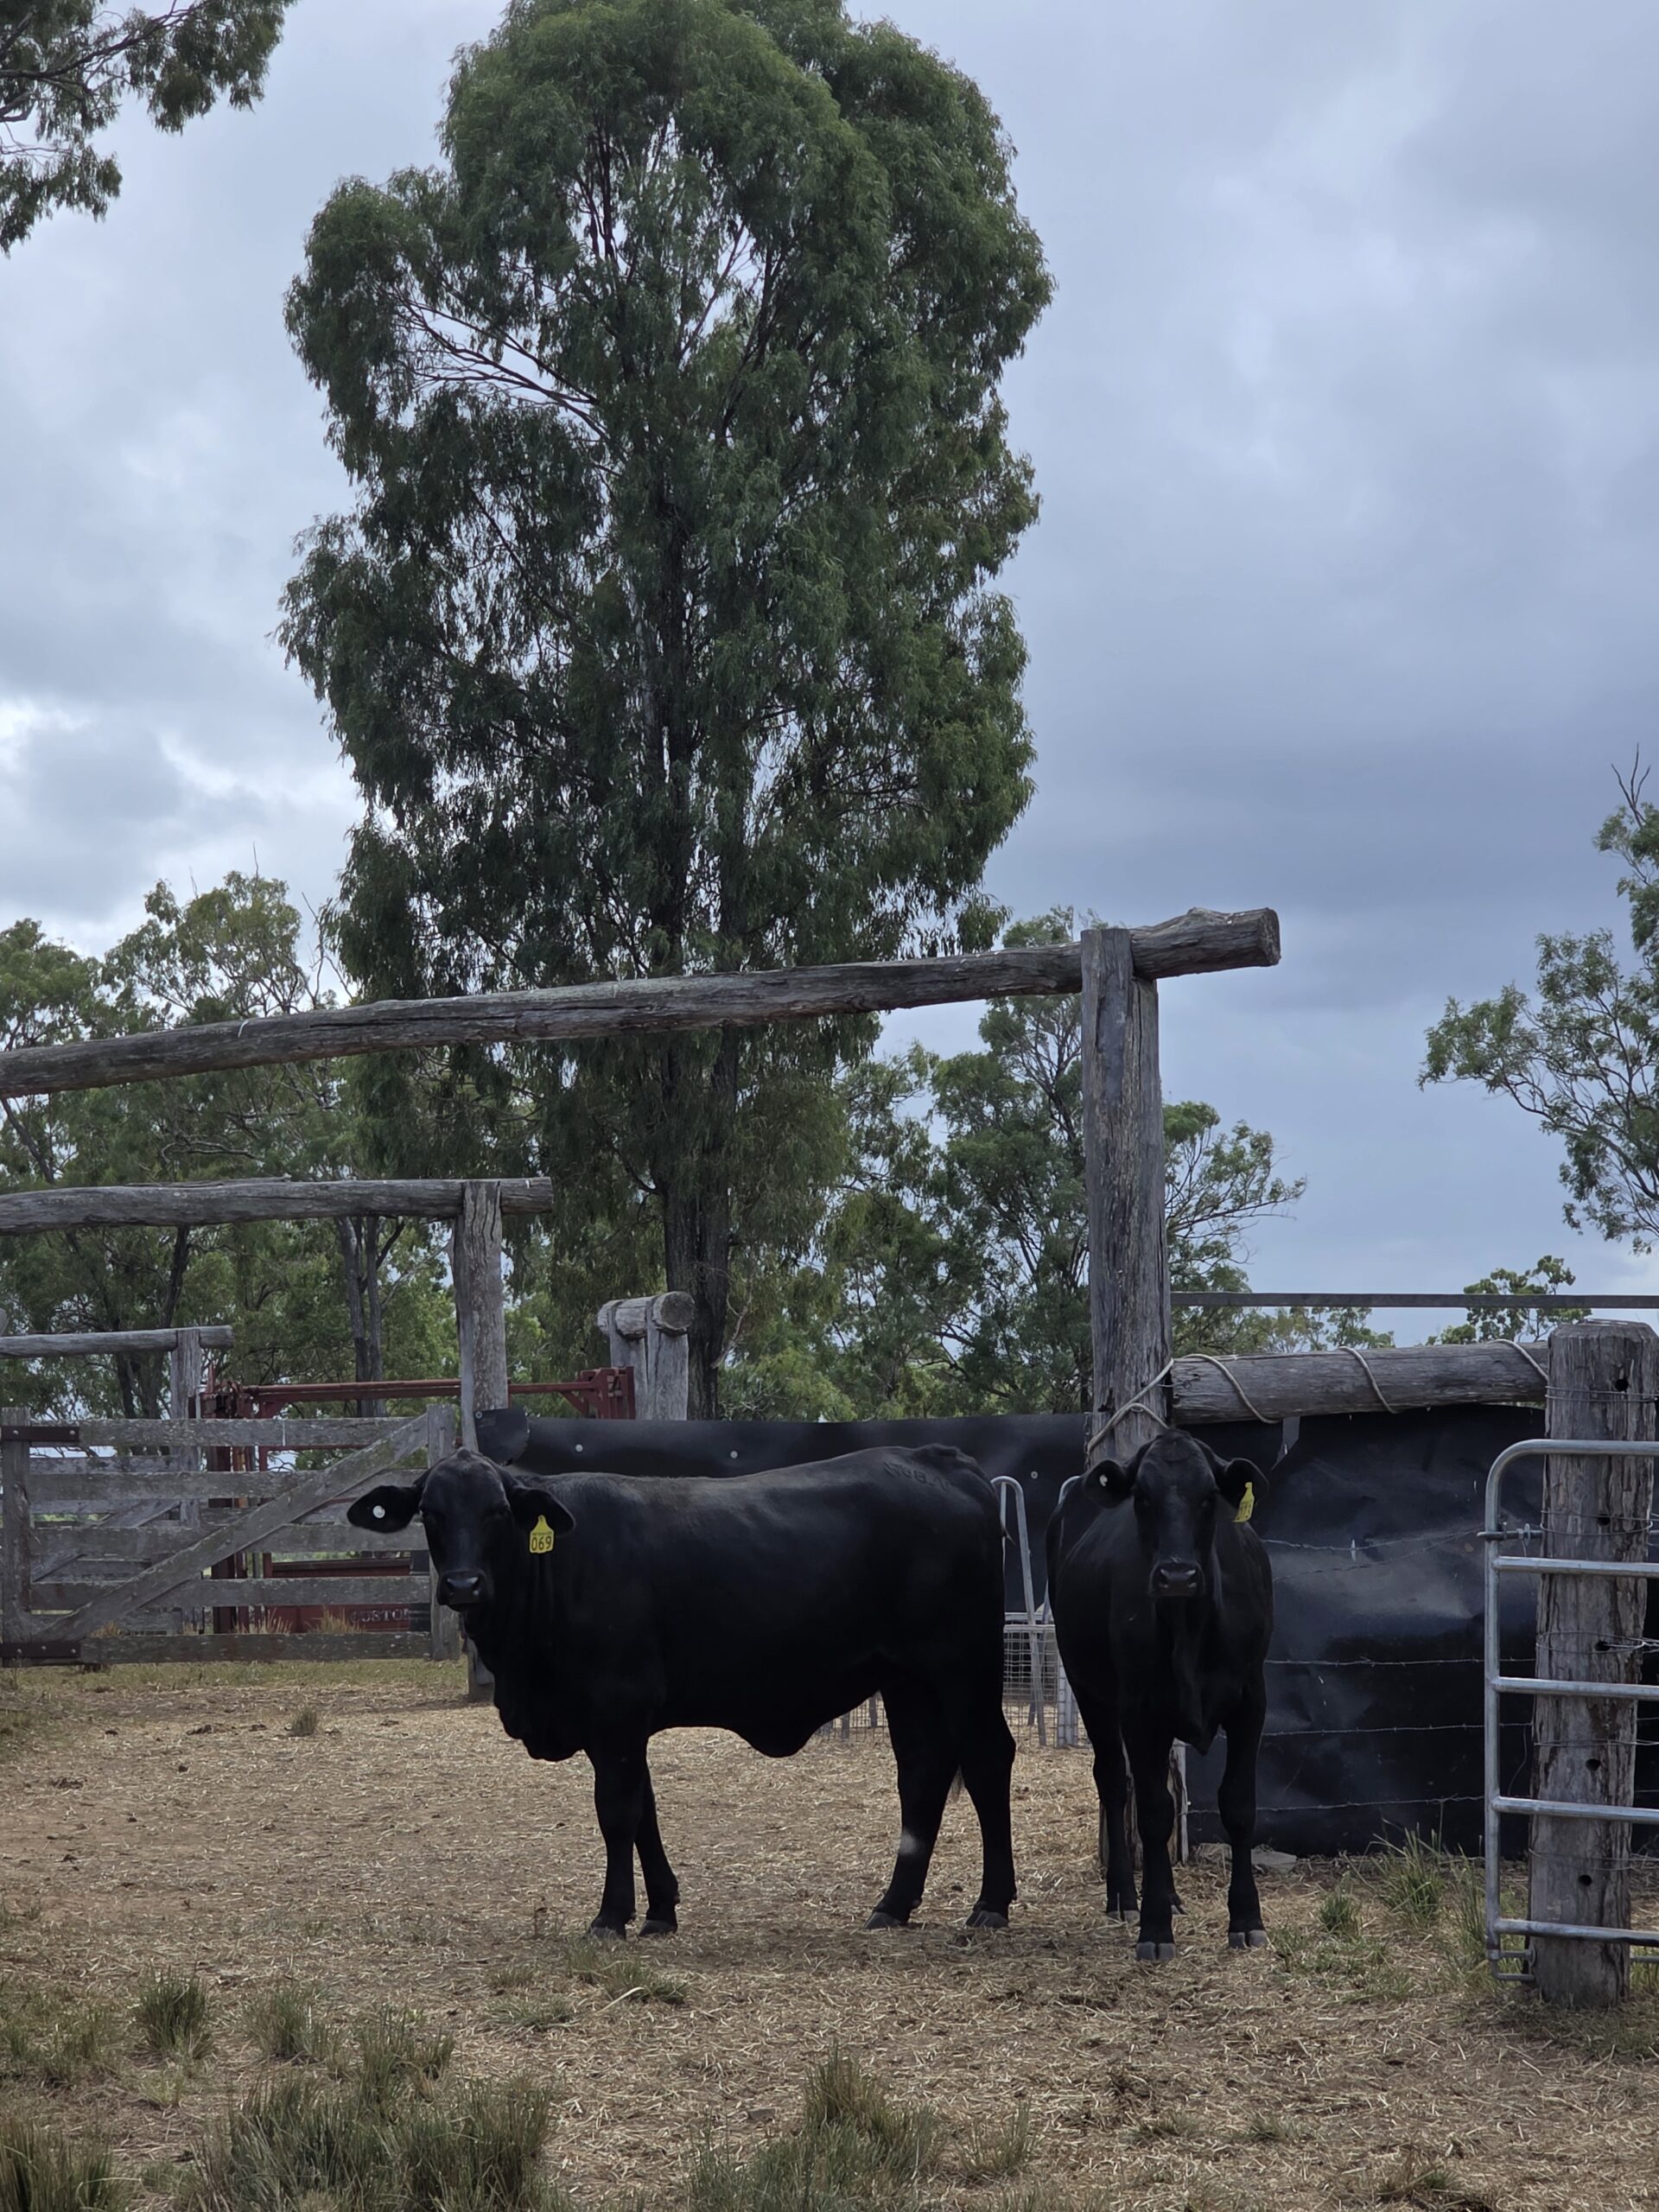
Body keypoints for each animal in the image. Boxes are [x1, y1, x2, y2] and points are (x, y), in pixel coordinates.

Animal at [348, 1443, 1018, 1938]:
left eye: (496, 1511)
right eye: (431, 1513)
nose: (463, 1586)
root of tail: (942, 1461)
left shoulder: (616, 1709)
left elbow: (617, 1812)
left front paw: (611, 1917)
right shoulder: (619, 1726)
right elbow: (645, 1809)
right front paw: (661, 1912)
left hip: (962, 1666)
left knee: (988, 1759)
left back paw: (991, 1903)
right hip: (907, 1680)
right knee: (923, 1771)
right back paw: (893, 1905)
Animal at [1046, 1429, 1273, 1961]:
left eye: (1208, 1496)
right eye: (1142, 1498)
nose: (1176, 1576)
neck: (1189, 1628)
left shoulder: (1251, 1701)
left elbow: (1238, 1805)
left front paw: (1246, 1919)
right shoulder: (1140, 1711)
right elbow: (1151, 1812)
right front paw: (1153, 1928)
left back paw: (1166, 1894)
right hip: (1090, 1690)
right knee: (1113, 1781)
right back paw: (1127, 1897)